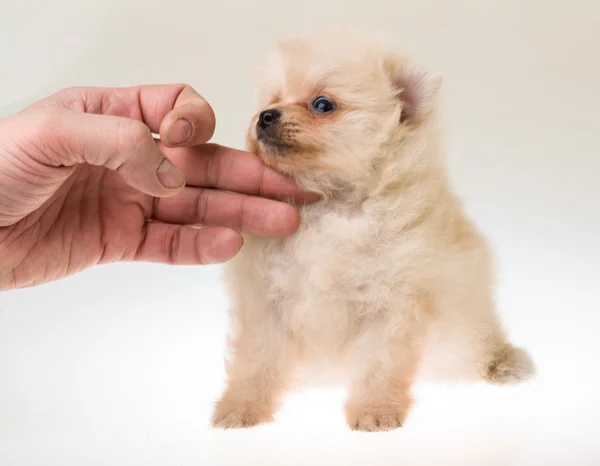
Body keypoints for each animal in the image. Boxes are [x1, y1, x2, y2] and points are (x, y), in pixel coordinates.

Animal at [212, 31, 536, 434]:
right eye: (273, 100)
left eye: (323, 104)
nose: (266, 116)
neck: (329, 204)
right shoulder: (266, 300)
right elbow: (256, 359)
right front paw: (240, 408)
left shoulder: (392, 300)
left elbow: (379, 362)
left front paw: (375, 411)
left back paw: (501, 362)